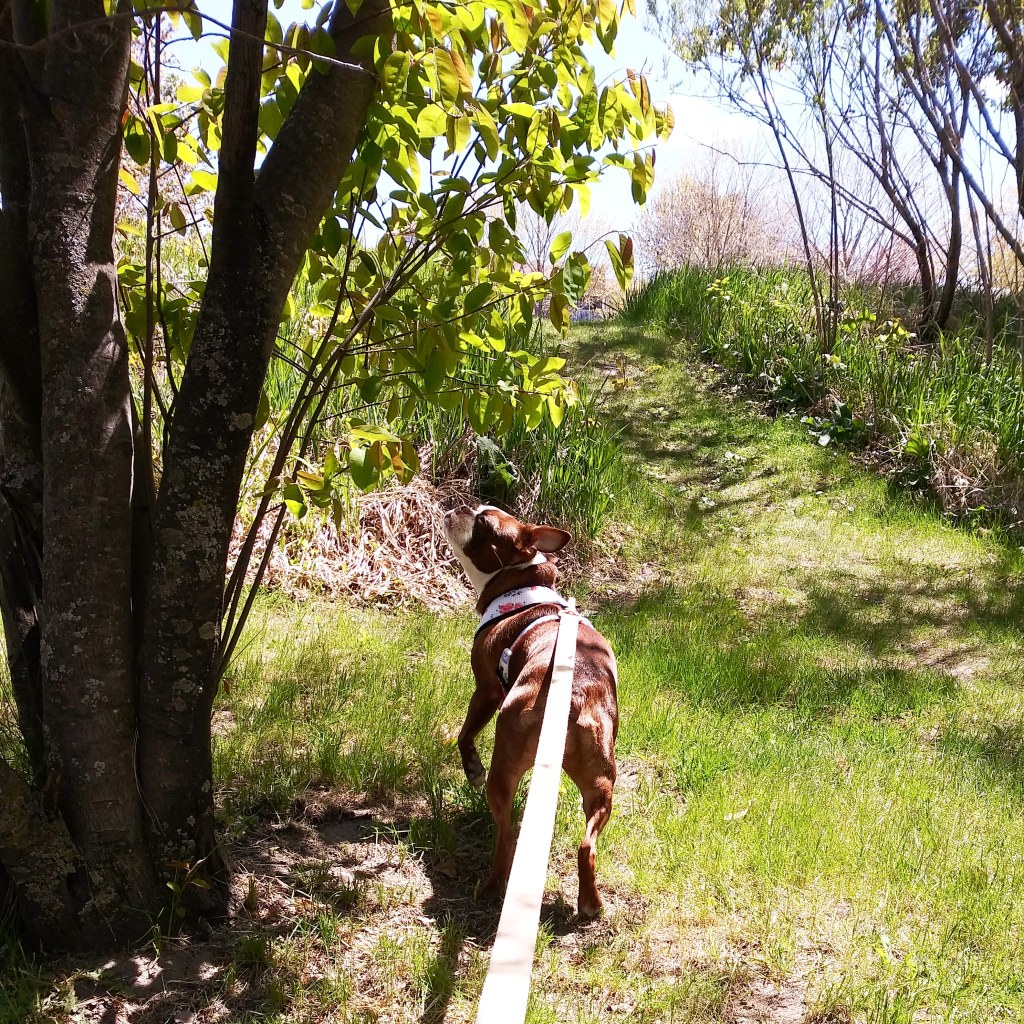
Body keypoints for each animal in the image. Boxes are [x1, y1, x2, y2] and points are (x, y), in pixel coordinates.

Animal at [442, 503, 618, 918]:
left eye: (483, 523)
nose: (462, 506)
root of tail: (573, 696)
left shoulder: (486, 690)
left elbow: (464, 734)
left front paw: (471, 770)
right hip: (603, 782)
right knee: (587, 845)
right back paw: (590, 903)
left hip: (504, 765)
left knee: (507, 837)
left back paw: (491, 889)